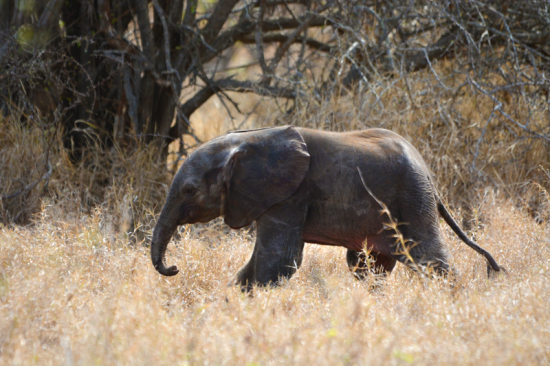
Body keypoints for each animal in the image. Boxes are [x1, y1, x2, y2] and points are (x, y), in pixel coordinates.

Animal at [150, 126, 504, 288]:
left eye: (189, 190)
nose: (174, 268)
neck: (245, 143)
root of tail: (429, 173)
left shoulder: (291, 195)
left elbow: (279, 260)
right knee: (368, 269)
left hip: (413, 199)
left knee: (429, 258)